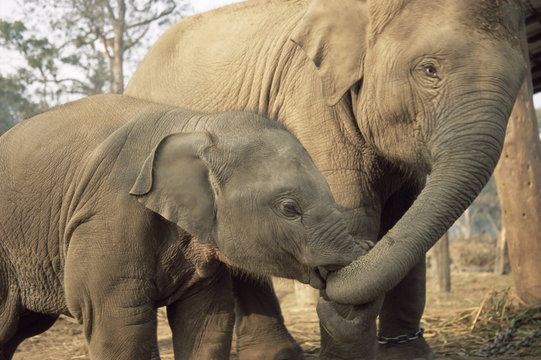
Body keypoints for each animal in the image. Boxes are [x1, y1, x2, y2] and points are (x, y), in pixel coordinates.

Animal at [0, 94, 368, 358]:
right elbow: (117, 319)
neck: (195, 124)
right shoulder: (107, 214)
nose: (364, 246)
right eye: (289, 208)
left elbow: (207, 320)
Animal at [125, 1, 524, 358]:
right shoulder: (311, 101)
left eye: (520, 82)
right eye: (430, 69)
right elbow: (355, 209)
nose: (328, 287)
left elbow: (407, 215)